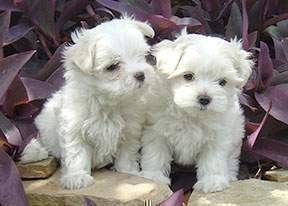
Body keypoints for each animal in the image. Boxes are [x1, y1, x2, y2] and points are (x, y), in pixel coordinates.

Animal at [20, 17, 156, 190]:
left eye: (143, 56)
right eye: (112, 67)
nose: (141, 75)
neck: (108, 102)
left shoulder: (130, 129)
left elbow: (127, 152)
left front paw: (128, 171)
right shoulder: (74, 129)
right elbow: (77, 154)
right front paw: (77, 178)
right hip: (45, 125)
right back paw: (36, 152)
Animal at [141, 32, 253, 193]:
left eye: (222, 82)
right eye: (188, 76)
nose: (204, 99)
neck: (190, 115)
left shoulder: (218, 136)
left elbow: (213, 159)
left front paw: (212, 181)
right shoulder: (157, 129)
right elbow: (155, 152)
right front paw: (153, 176)